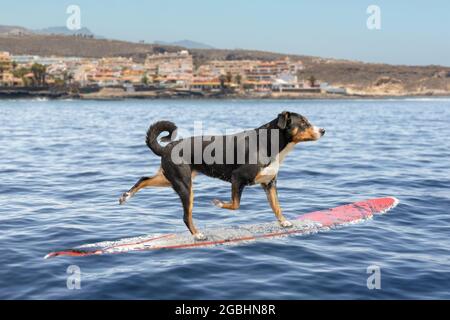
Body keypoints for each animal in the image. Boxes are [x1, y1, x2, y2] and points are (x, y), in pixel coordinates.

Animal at [118, 112, 324, 240]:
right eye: (303, 123)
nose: (323, 130)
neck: (270, 144)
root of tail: (168, 146)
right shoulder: (237, 178)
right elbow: (235, 205)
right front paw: (218, 203)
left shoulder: (269, 183)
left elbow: (277, 207)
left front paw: (284, 222)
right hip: (184, 185)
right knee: (186, 216)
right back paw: (197, 234)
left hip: (169, 179)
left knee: (144, 179)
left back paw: (125, 196)